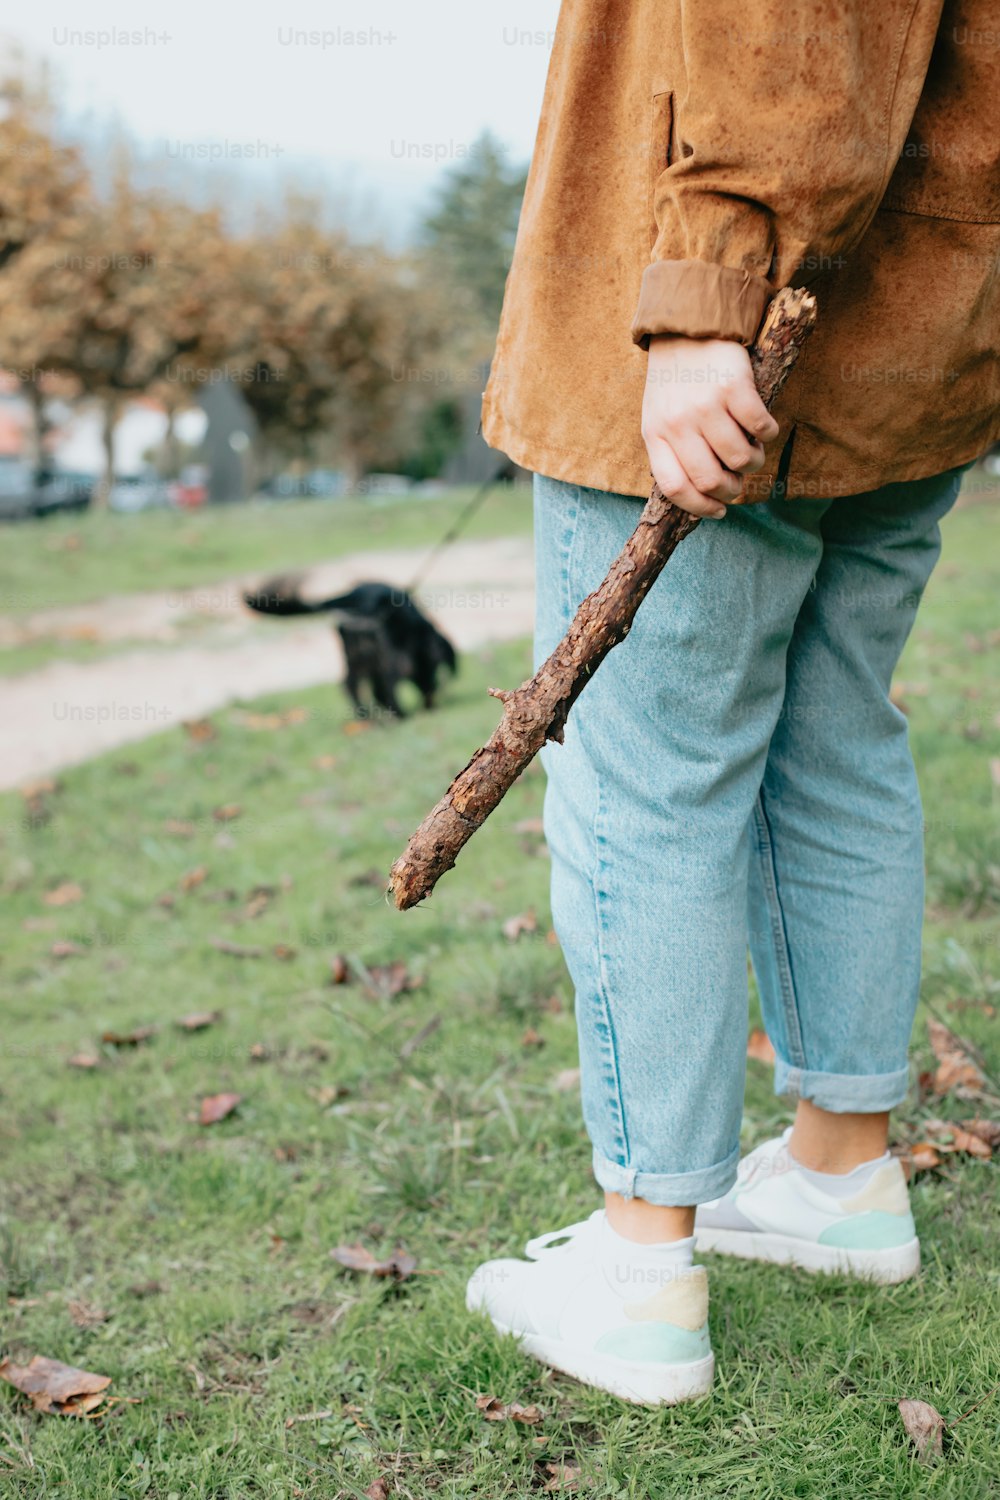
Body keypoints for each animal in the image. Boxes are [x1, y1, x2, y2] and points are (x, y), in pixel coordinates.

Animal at [244, 576, 458, 717]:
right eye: (435, 666)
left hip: (353, 653)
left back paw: (367, 718)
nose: (430, 704)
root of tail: (349, 598)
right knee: (383, 686)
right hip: (381, 657)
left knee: (350, 684)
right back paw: (398, 715)